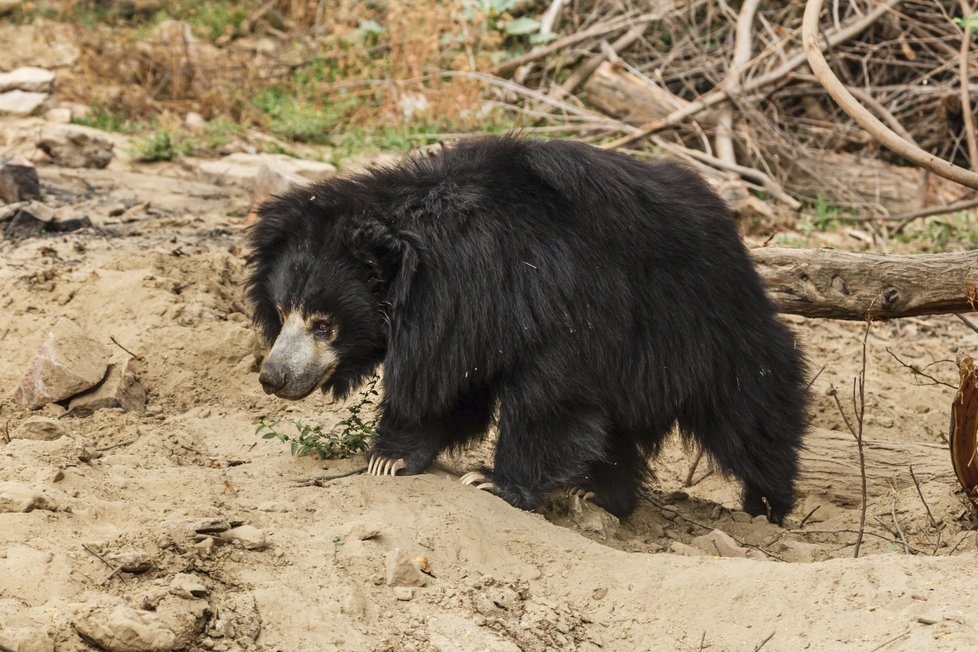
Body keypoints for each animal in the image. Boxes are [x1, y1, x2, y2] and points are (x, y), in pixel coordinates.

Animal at [246, 136, 808, 524]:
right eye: (283, 310)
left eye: (323, 325)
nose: (272, 378)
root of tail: (725, 223)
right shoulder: (463, 324)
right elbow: (450, 387)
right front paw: (390, 458)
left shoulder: (557, 308)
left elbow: (549, 400)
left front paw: (493, 483)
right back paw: (599, 494)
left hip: (705, 320)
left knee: (750, 406)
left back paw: (769, 506)